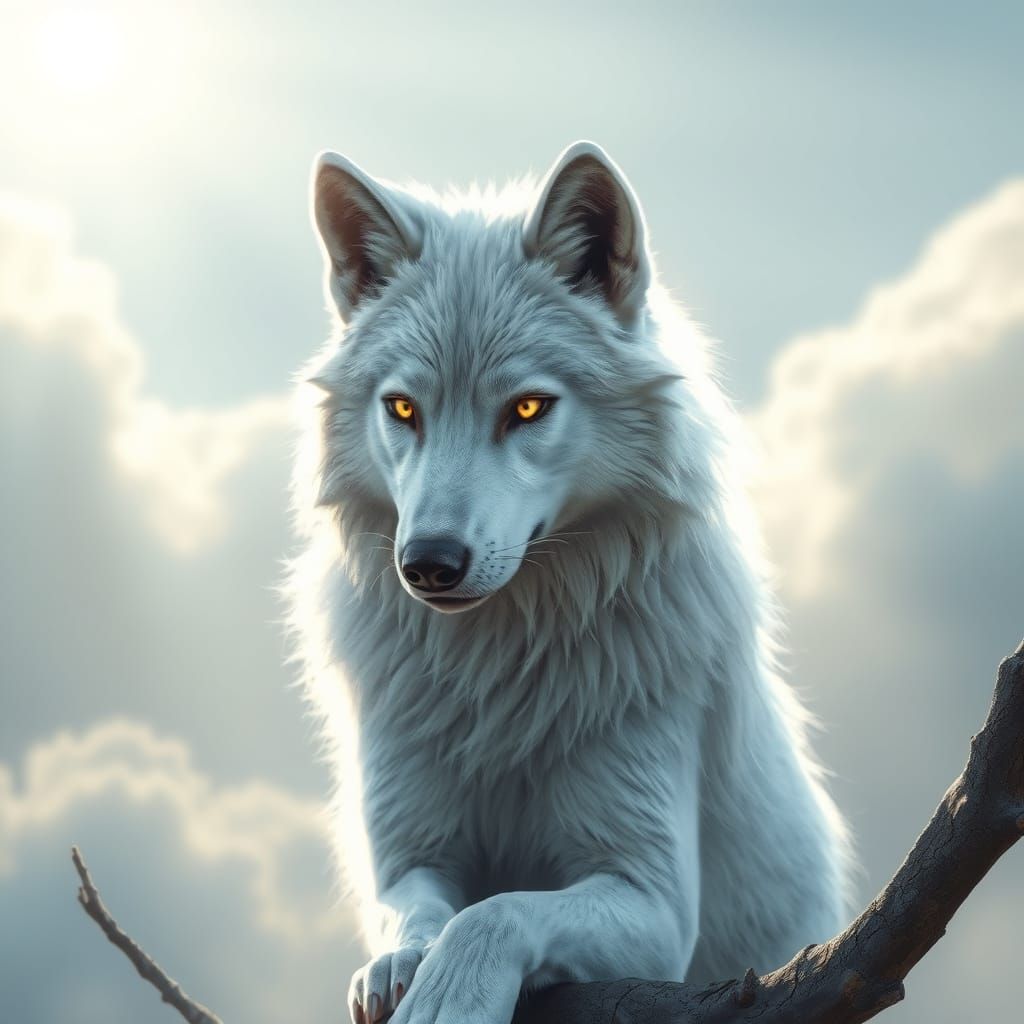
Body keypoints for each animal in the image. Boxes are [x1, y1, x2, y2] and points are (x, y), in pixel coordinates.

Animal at [287, 141, 853, 1024]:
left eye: (526, 408)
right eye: (404, 409)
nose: (430, 563)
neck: (500, 672)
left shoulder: (651, 899)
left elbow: (494, 913)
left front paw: (449, 998)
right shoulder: (409, 858)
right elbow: (417, 913)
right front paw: (399, 967)